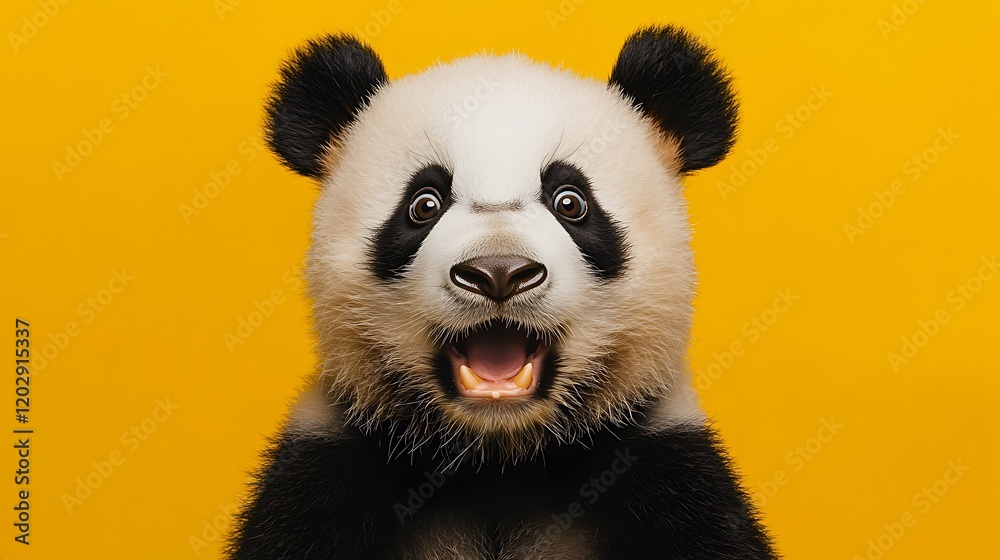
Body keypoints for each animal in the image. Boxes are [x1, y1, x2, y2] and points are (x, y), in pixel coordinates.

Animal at [228, 25, 777, 560]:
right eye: (423, 204)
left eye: (571, 202)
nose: (497, 272)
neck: (499, 456)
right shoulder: (324, 474)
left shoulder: (669, 474)